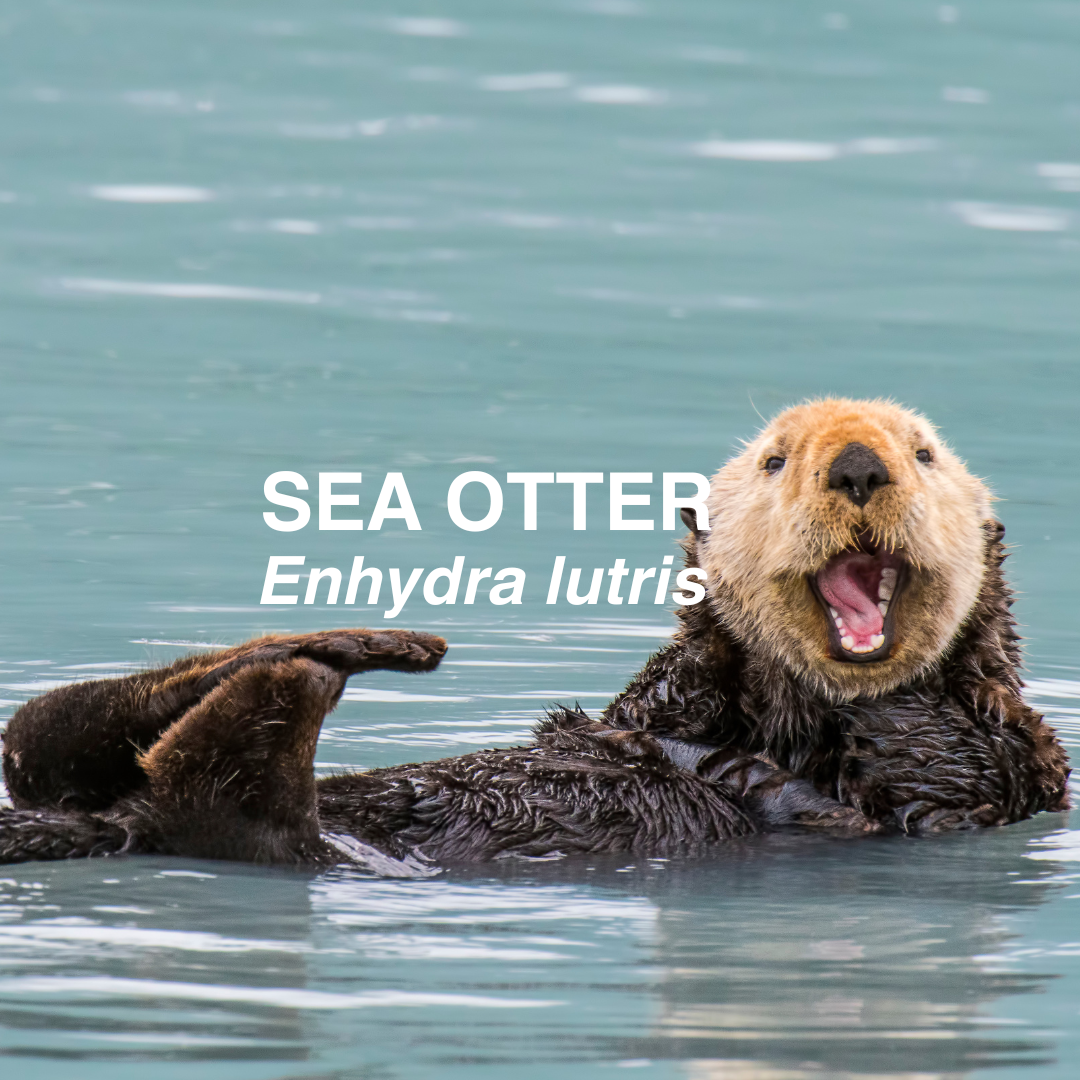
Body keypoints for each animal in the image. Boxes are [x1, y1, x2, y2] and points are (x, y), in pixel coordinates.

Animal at [0, 399, 1069, 868]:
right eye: (774, 461)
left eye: (923, 453)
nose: (855, 465)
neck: (791, 720)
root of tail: (119, 822)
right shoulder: (660, 699)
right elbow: (644, 710)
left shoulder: (1007, 765)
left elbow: (936, 764)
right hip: (74, 774)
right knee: (47, 736)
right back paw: (349, 644)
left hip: (270, 834)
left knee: (221, 793)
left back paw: (313, 672)